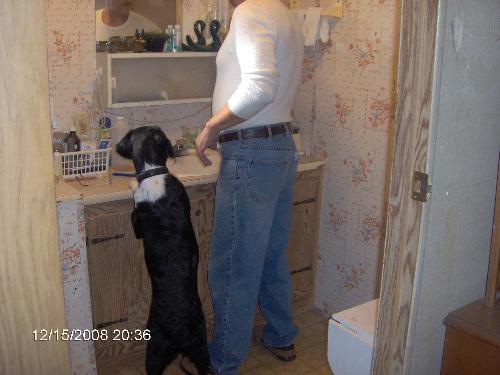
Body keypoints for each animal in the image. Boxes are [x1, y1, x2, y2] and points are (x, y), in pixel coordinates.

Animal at [116, 127, 210, 375]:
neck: (153, 172)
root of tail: (180, 331)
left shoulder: (136, 223)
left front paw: (132, 184)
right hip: (201, 348)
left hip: (154, 352)